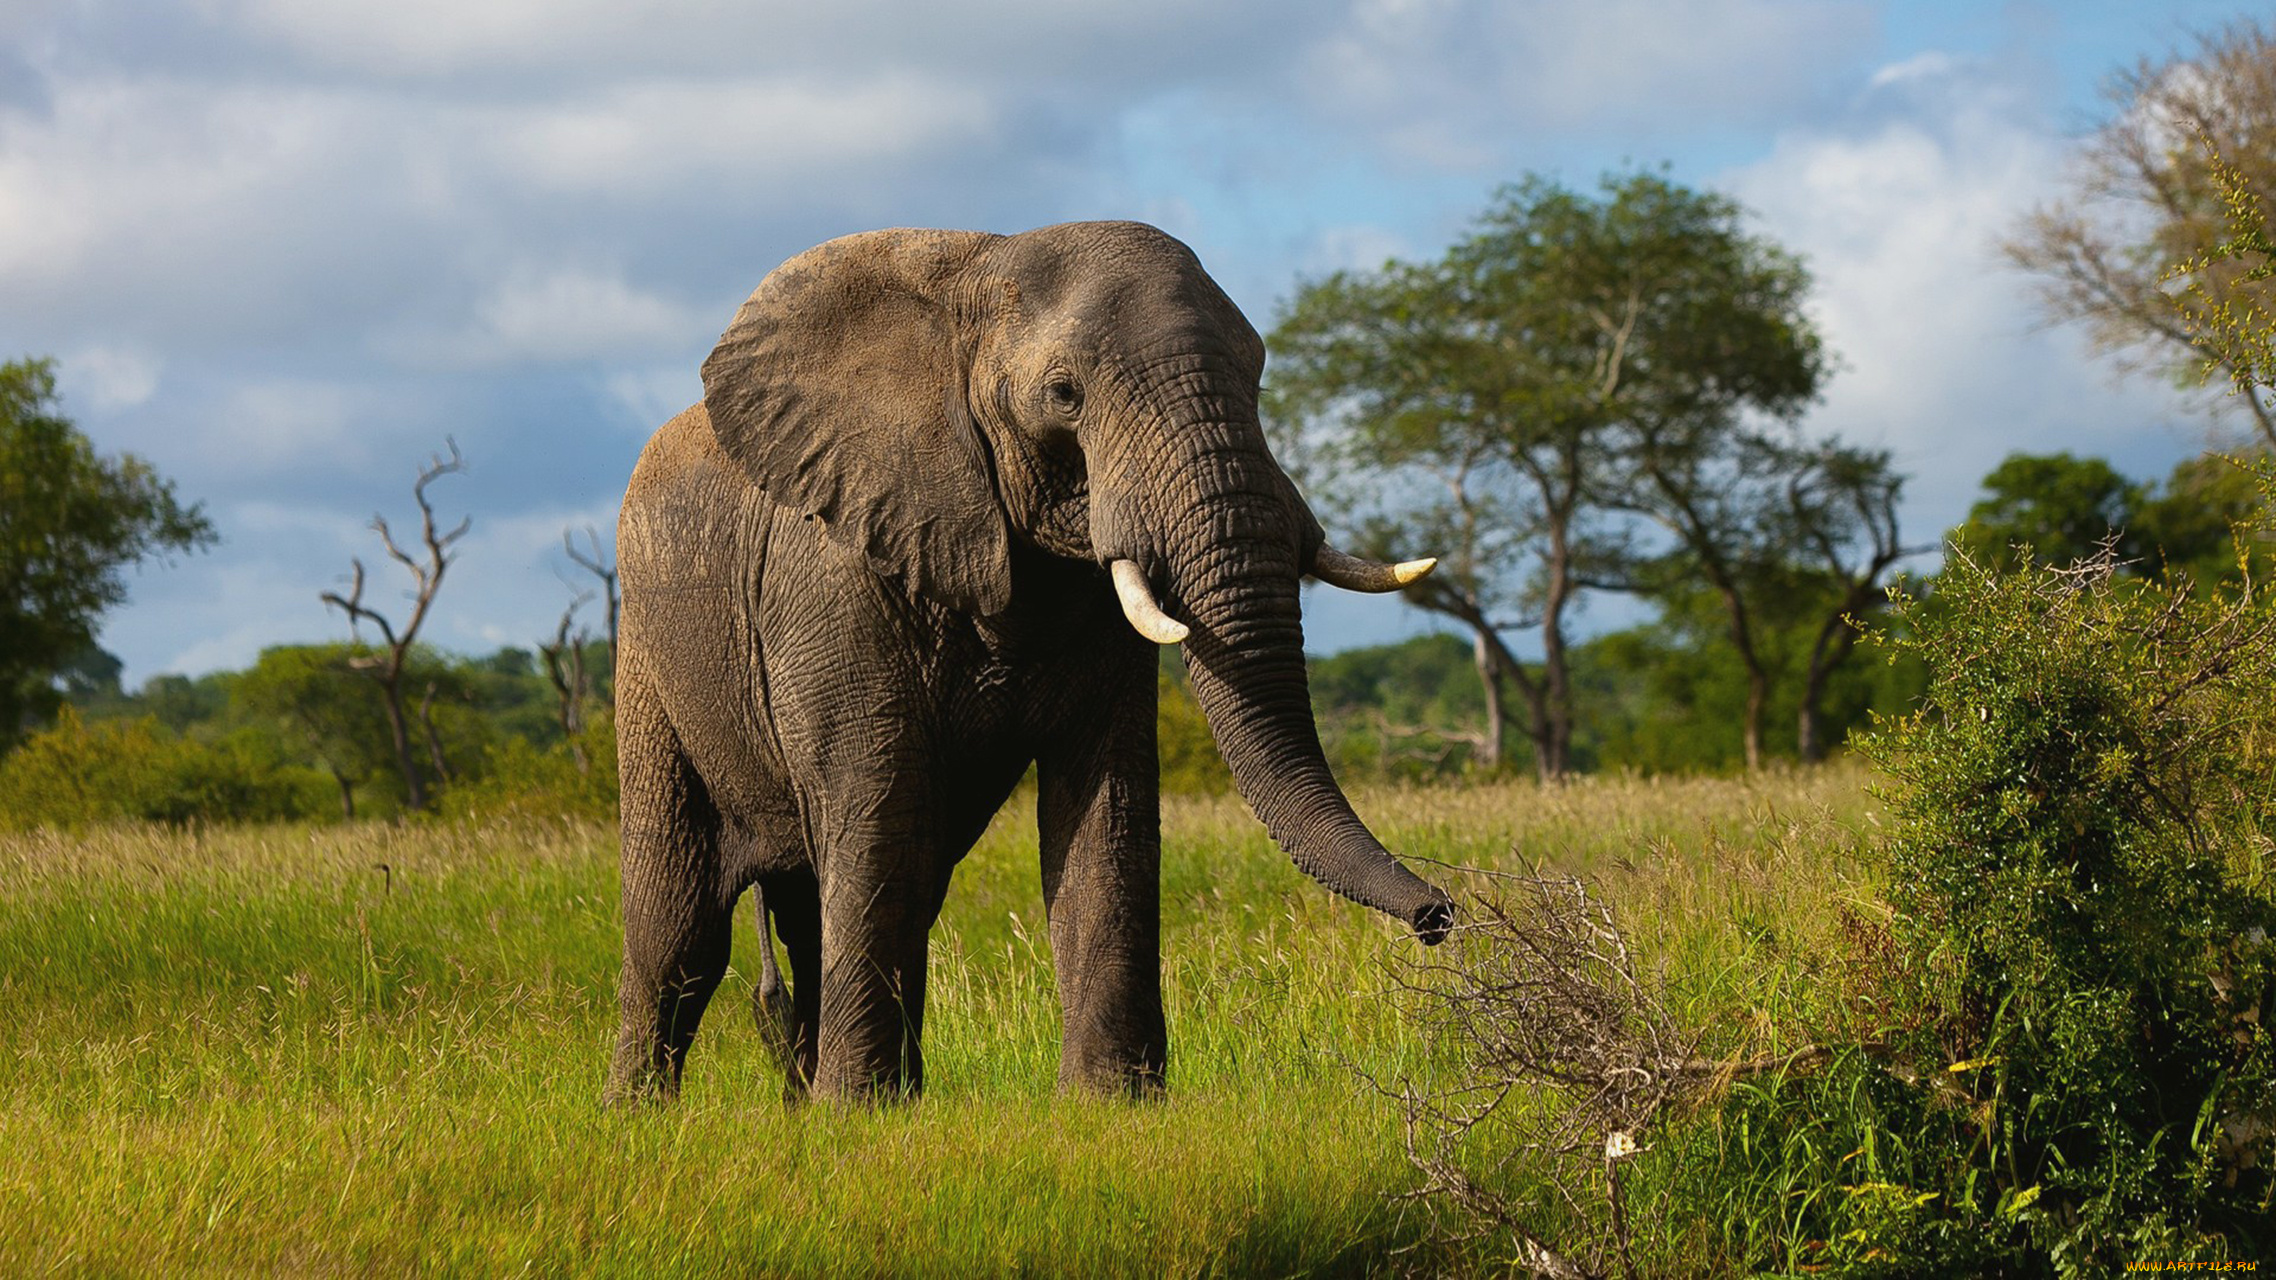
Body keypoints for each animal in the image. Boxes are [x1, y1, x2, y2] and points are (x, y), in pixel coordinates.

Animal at [605, 220, 1452, 1104]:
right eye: (1064, 394)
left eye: (1257, 374)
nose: (1439, 917)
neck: (977, 269)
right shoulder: (835, 569)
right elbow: (880, 800)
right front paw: (860, 1114)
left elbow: (1107, 805)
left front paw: (1111, 1104)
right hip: (648, 659)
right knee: (681, 926)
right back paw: (644, 1115)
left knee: (825, 904)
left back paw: (817, 1103)